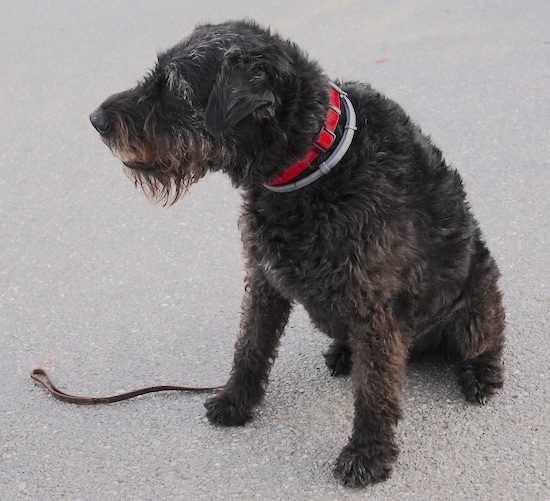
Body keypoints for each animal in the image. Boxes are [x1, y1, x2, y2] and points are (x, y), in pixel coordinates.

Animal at [89, 19, 504, 484]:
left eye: (176, 89)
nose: (96, 119)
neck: (314, 163)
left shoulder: (375, 309)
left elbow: (375, 391)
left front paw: (368, 454)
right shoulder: (263, 280)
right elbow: (249, 348)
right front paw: (235, 402)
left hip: (476, 300)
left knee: (487, 341)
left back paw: (480, 374)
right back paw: (344, 353)